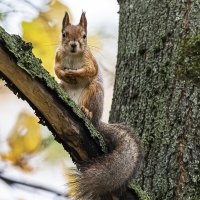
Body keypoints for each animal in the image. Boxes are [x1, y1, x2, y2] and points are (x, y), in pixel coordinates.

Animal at [54, 11, 142, 200]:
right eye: (64, 34)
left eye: (84, 36)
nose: (73, 45)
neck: (73, 56)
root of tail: (98, 120)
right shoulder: (58, 57)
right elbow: (57, 69)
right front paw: (64, 73)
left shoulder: (90, 61)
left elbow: (90, 70)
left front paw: (75, 73)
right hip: (64, 88)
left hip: (94, 92)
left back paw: (85, 111)